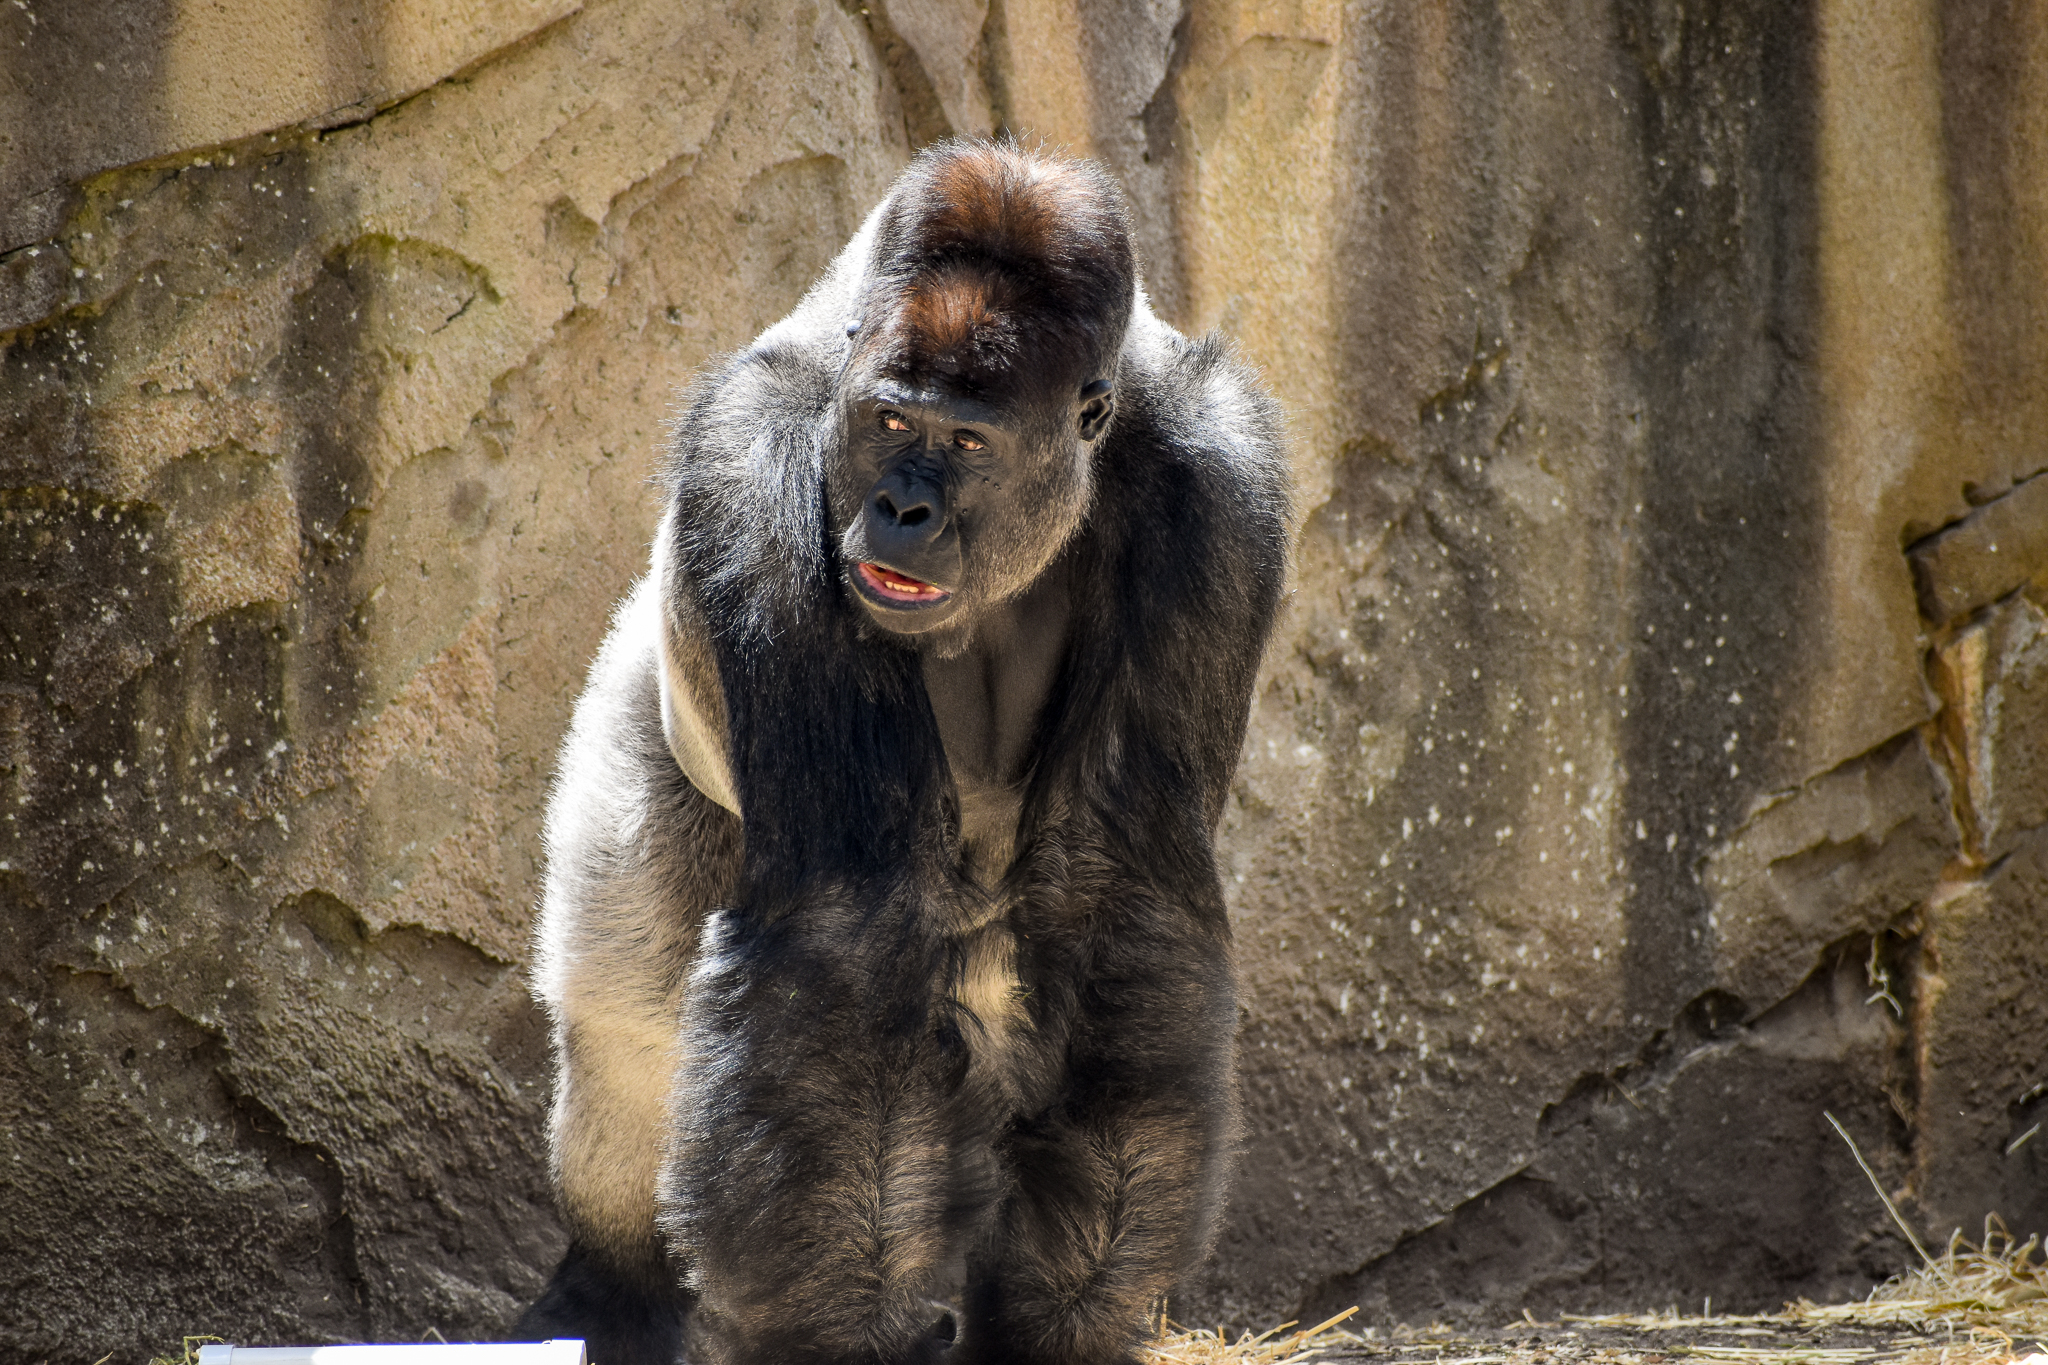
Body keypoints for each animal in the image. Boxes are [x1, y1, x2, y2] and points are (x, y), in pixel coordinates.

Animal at [514, 141, 1289, 1365]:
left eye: (967, 443)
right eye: (887, 424)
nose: (901, 511)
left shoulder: (1218, 495)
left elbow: (1118, 900)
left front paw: (1055, 1320)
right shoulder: (756, 454)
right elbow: (845, 928)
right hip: (641, 732)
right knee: (628, 1034)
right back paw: (609, 1287)